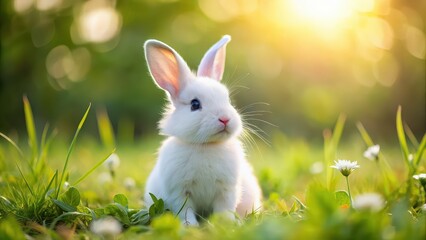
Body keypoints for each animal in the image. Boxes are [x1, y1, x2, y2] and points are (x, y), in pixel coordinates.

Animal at [143, 35, 262, 225]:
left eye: (228, 100)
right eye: (195, 104)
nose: (225, 118)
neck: (206, 146)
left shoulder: (226, 190)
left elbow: (224, 209)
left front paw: (226, 224)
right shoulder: (180, 192)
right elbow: (185, 211)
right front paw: (190, 226)